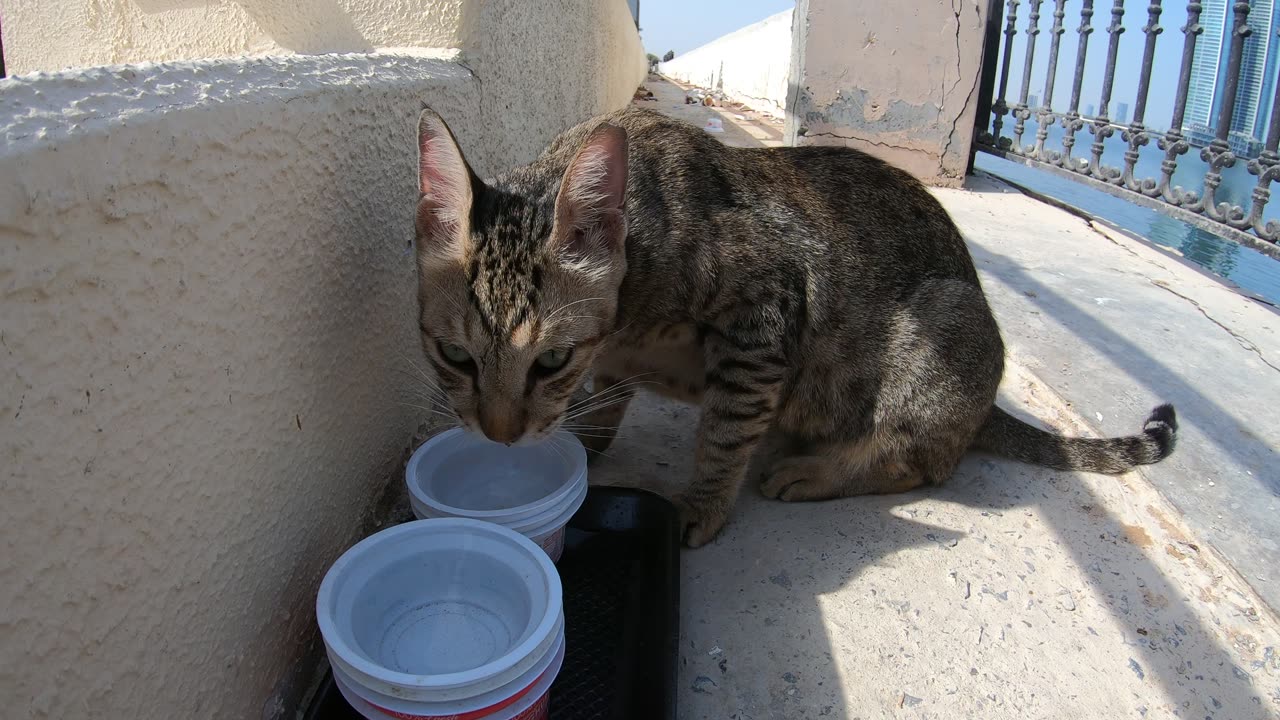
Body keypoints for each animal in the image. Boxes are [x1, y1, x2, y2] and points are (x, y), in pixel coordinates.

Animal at [412, 105, 1177, 543]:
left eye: (549, 361)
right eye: (453, 355)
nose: (500, 435)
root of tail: (987, 404)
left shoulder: (765, 314)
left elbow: (725, 432)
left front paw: (701, 505)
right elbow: (608, 398)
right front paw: (584, 440)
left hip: (940, 330)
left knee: (922, 461)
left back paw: (818, 469)